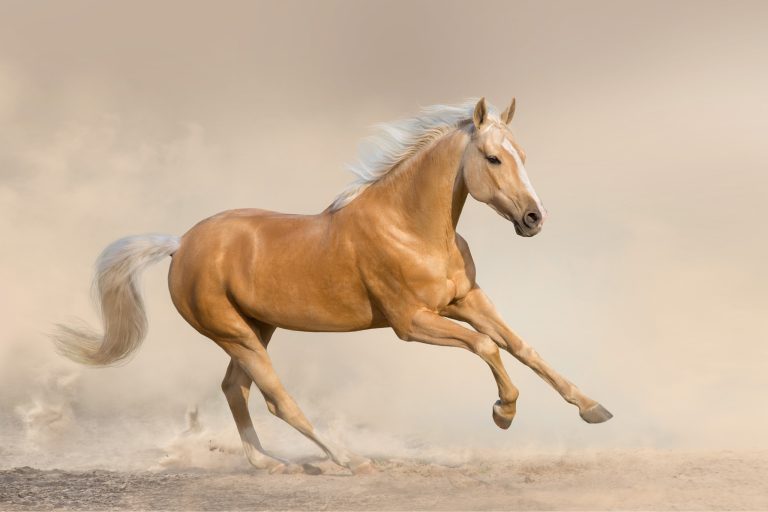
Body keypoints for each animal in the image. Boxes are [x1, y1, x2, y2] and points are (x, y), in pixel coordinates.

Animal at [55, 97, 612, 474]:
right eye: (494, 158)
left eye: (524, 155)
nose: (534, 219)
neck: (410, 227)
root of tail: (180, 244)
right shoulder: (412, 323)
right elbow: (486, 347)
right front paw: (504, 413)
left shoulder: (465, 300)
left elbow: (521, 346)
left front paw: (593, 409)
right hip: (235, 332)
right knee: (277, 398)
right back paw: (347, 459)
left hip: (256, 328)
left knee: (235, 388)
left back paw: (268, 465)